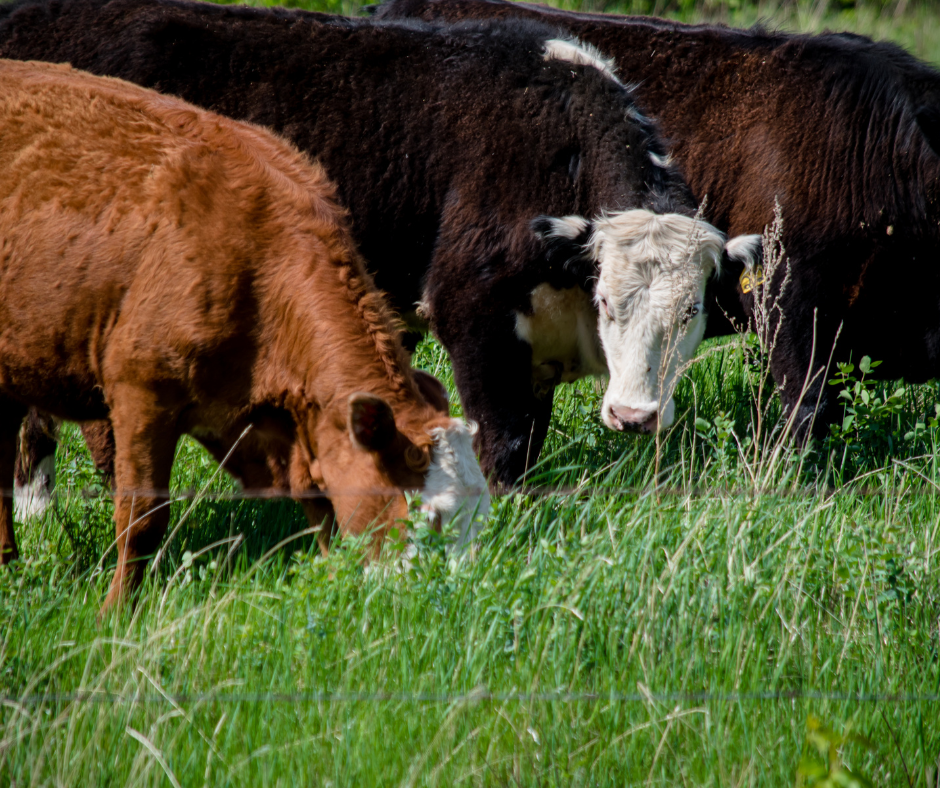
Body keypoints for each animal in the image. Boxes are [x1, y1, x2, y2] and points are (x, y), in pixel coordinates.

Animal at [1, 61, 492, 612]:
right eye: (432, 516)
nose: (451, 600)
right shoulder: (141, 393)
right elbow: (141, 519)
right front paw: (115, 613)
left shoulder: (288, 424)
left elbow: (320, 508)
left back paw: (8, 568)